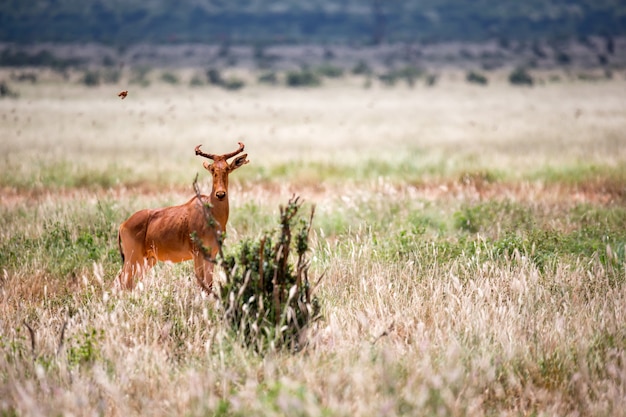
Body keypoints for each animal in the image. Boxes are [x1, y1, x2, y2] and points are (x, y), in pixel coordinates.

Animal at [116, 141, 247, 290]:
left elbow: (209, 285)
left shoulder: (212, 254)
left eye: (227, 168)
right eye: (212, 169)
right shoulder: (197, 253)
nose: (220, 194)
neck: (208, 211)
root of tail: (123, 224)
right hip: (133, 258)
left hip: (147, 260)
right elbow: (201, 283)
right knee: (121, 279)